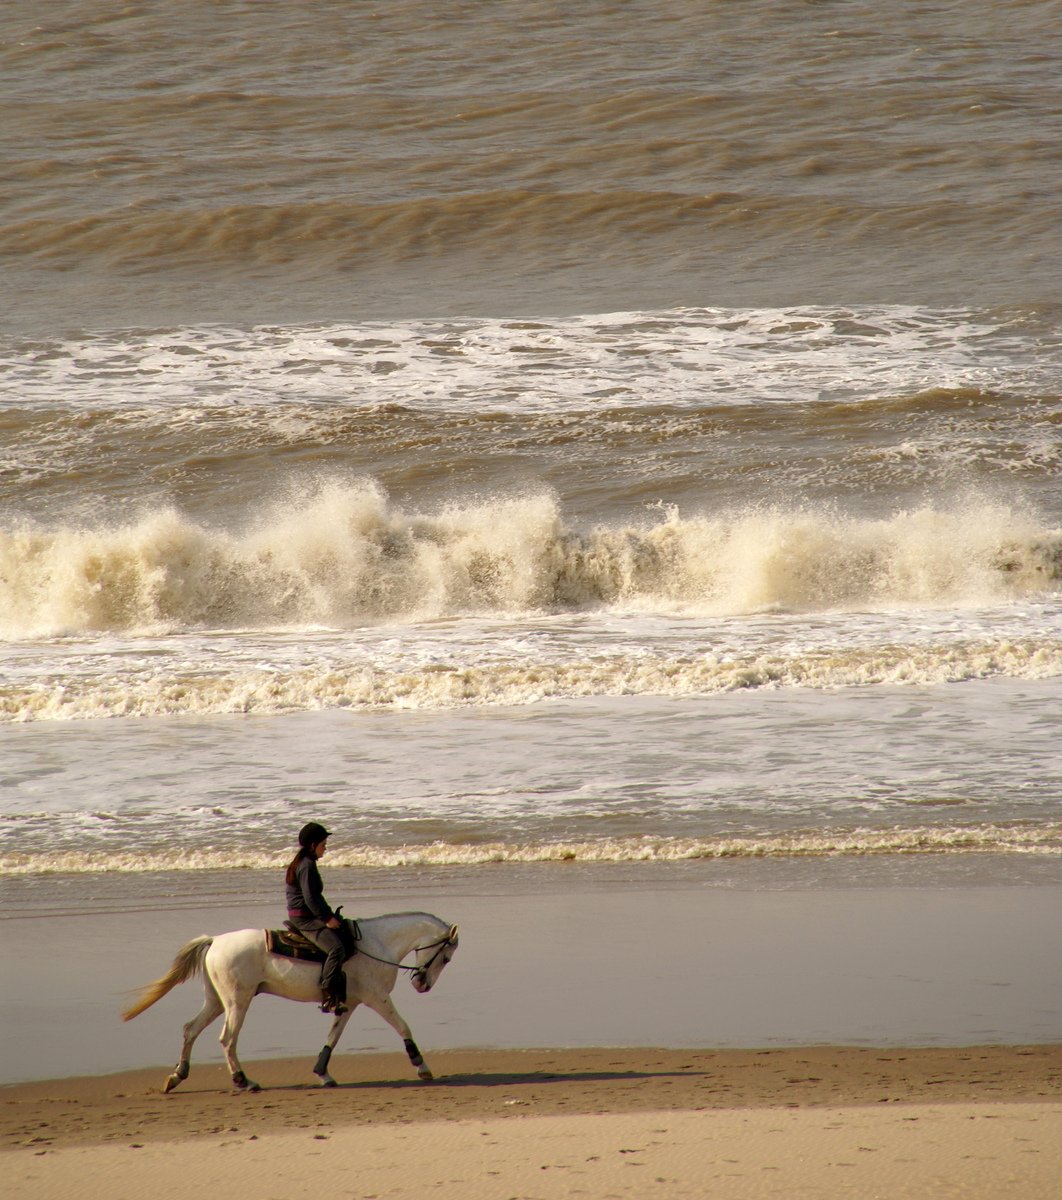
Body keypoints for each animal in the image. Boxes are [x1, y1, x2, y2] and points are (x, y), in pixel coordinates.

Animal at [122, 912, 458, 1094]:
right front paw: (422, 1066)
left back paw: (177, 1076)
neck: (376, 945)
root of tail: (215, 940)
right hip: (237, 1002)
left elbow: (333, 1037)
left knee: (190, 1029)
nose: (422, 984)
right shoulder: (377, 998)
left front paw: (323, 1073)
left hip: (216, 1001)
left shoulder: (350, 1003)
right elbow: (403, 1026)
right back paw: (244, 1081)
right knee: (227, 1039)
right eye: (446, 957)